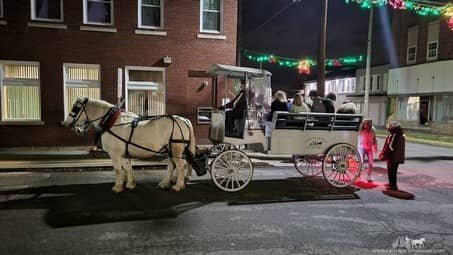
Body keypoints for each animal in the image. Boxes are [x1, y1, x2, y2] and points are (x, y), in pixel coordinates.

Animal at [63, 97, 196, 191]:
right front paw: (130, 184)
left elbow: (118, 169)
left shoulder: (115, 153)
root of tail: (184, 120)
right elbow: (127, 167)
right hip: (170, 150)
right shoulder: (124, 153)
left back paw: (178, 186)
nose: (65, 123)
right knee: (172, 166)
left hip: (176, 149)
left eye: (75, 108)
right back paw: (164, 183)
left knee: (181, 166)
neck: (111, 122)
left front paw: (117, 187)